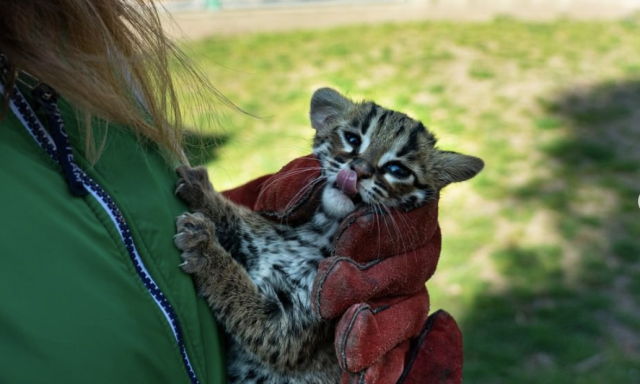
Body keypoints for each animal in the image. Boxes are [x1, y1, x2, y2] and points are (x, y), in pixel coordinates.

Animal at [172, 88, 482, 384]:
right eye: (352, 139)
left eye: (397, 169)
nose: (358, 170)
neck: (321, 228)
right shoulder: (259, 239)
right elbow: (237, 220)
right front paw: (201, 192)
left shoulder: (286, 328)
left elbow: (237, 290)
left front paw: (204, 249)